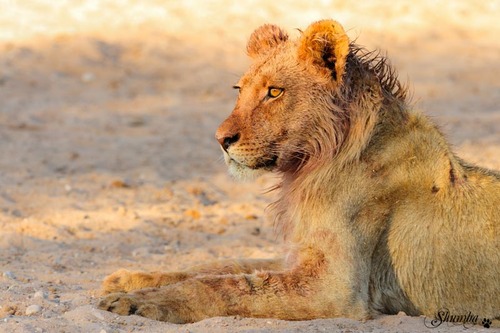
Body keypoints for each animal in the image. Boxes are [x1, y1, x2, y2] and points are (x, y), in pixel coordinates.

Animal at [98, 19, 500, 322]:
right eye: (239, 89)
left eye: (274, 92)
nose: (220, 139)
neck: (314, 163)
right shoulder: (301, 252)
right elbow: (219, 264)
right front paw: (130, 279)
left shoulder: (335, 288)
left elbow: (227, 284)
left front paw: (137, 303)